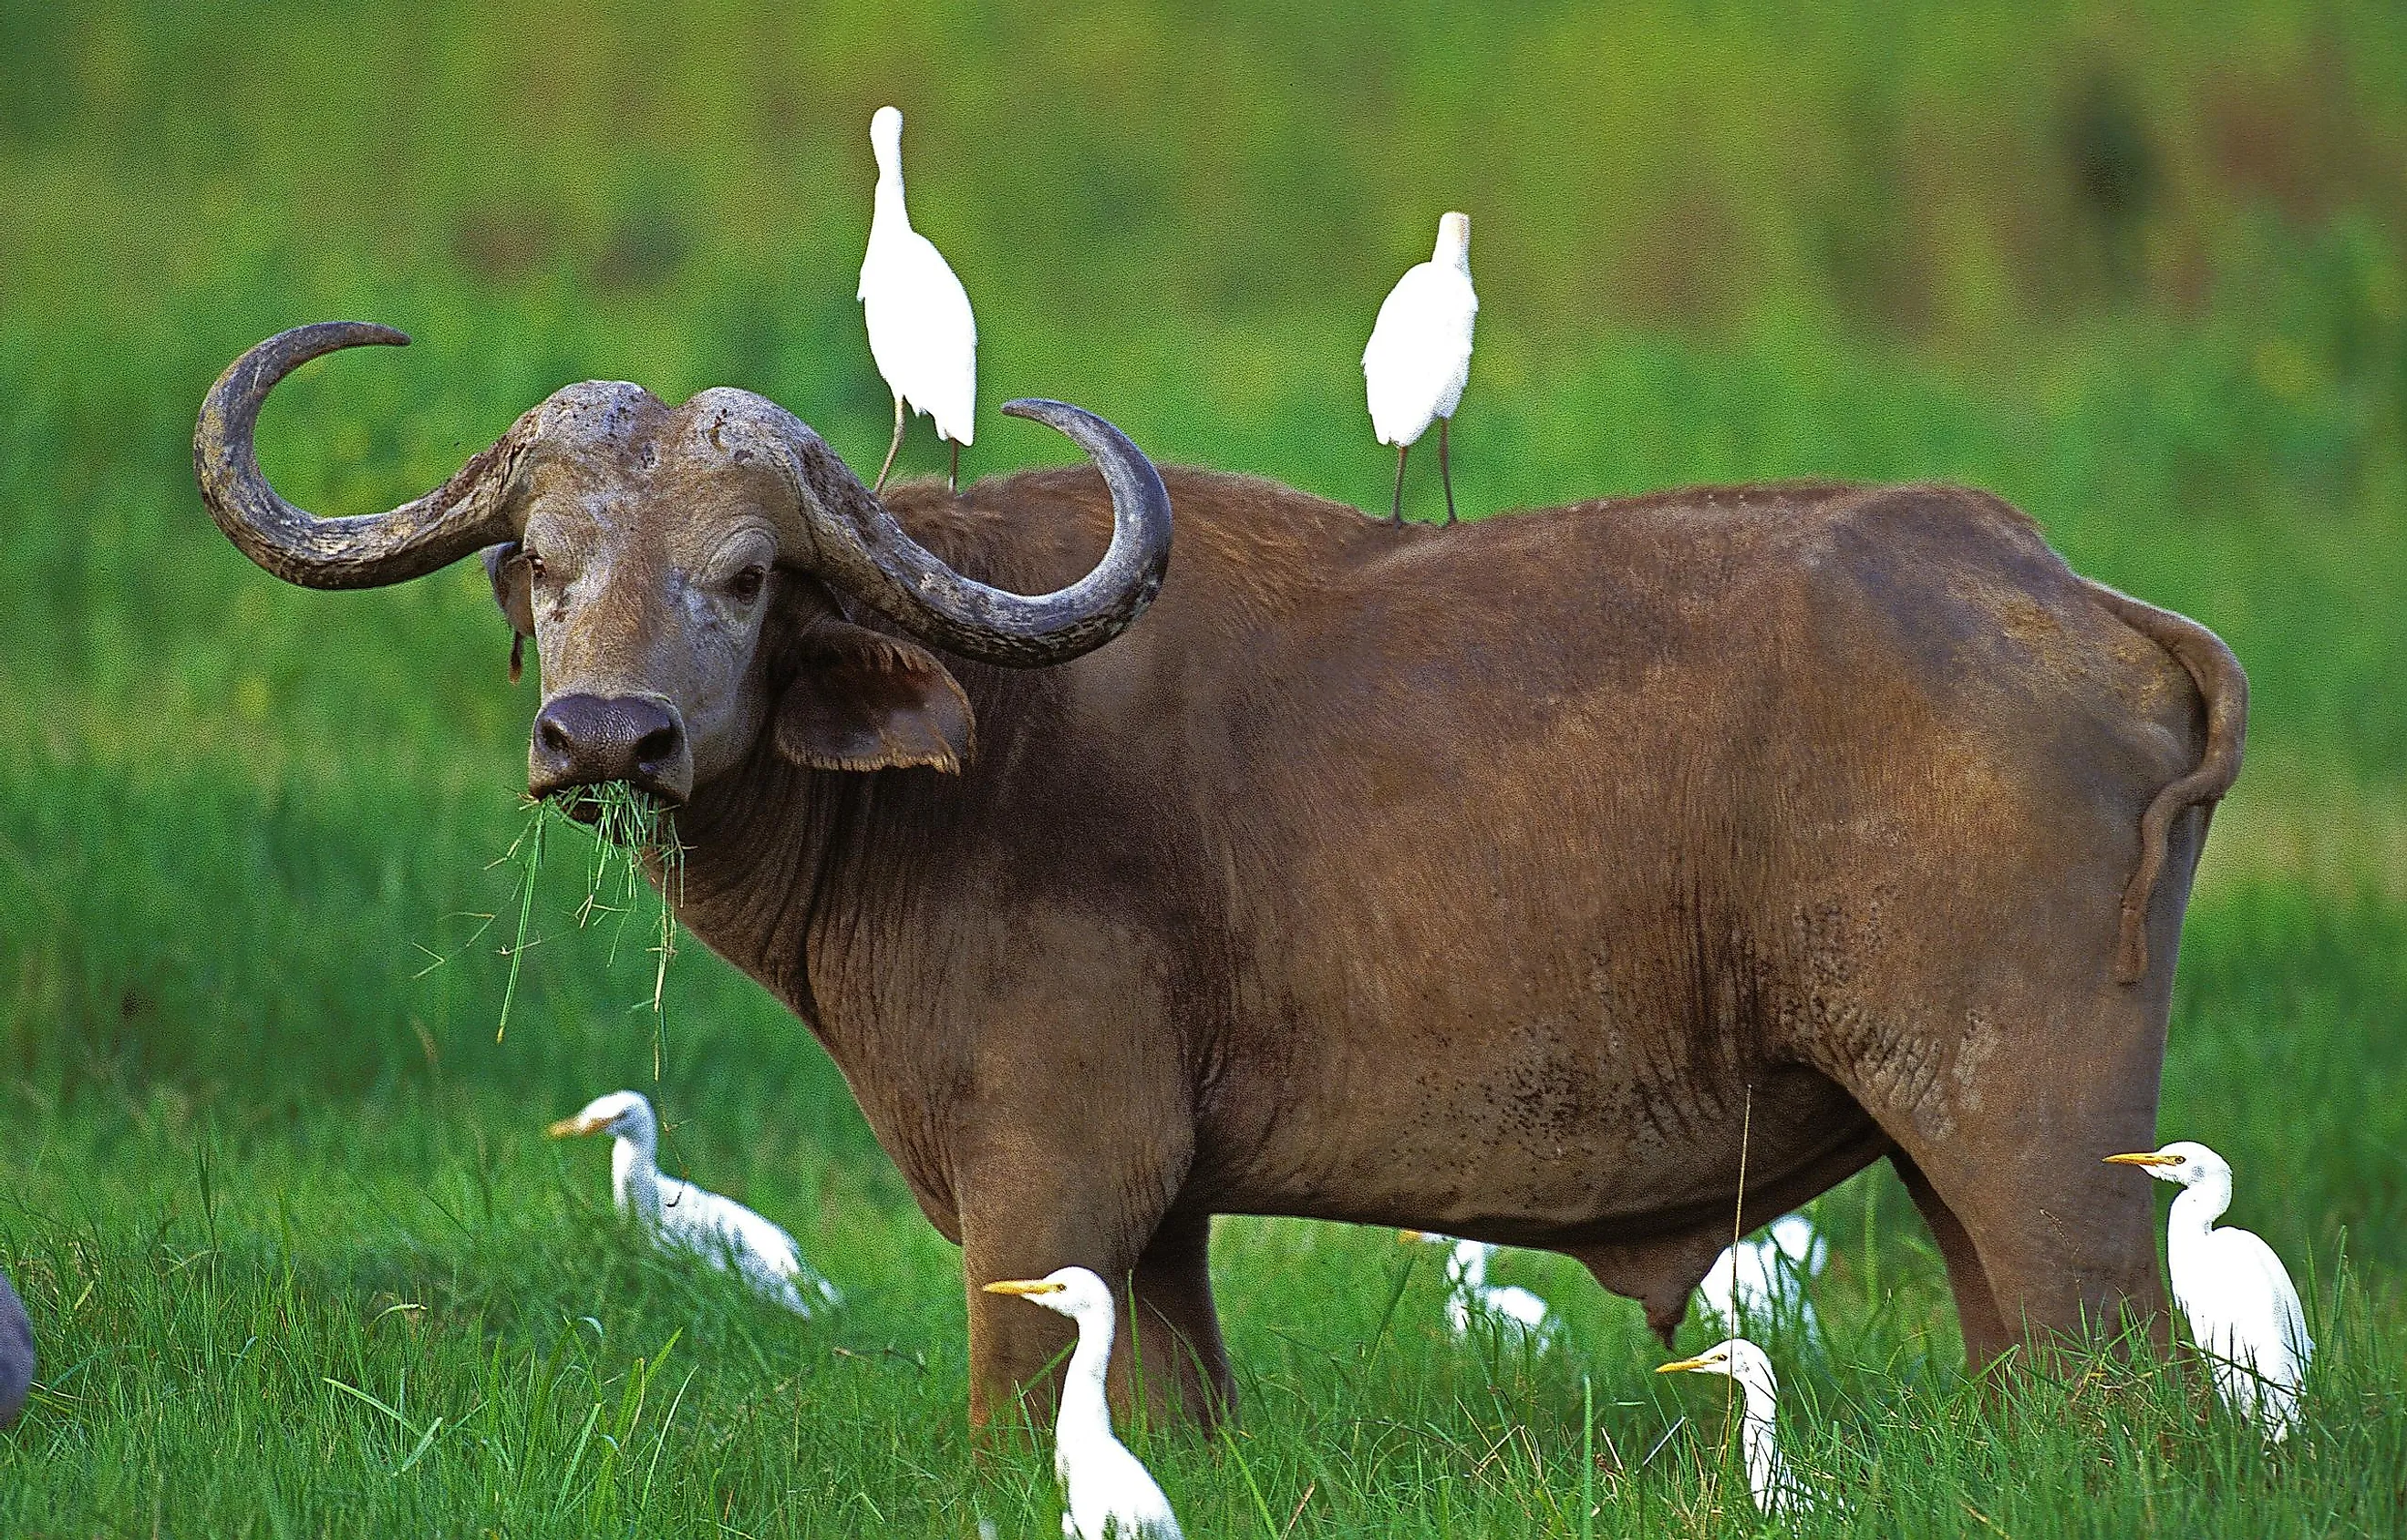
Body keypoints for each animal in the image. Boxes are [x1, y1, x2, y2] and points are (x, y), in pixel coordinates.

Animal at [197, 322, 2243, 1433]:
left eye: (750, 575)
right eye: (543, 564)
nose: (609, 734)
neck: (968, 758)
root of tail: (2061, 587)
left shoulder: (1051, 1187)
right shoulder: (1161, 1224)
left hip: (2042, 1159)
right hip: (1949, 1174)